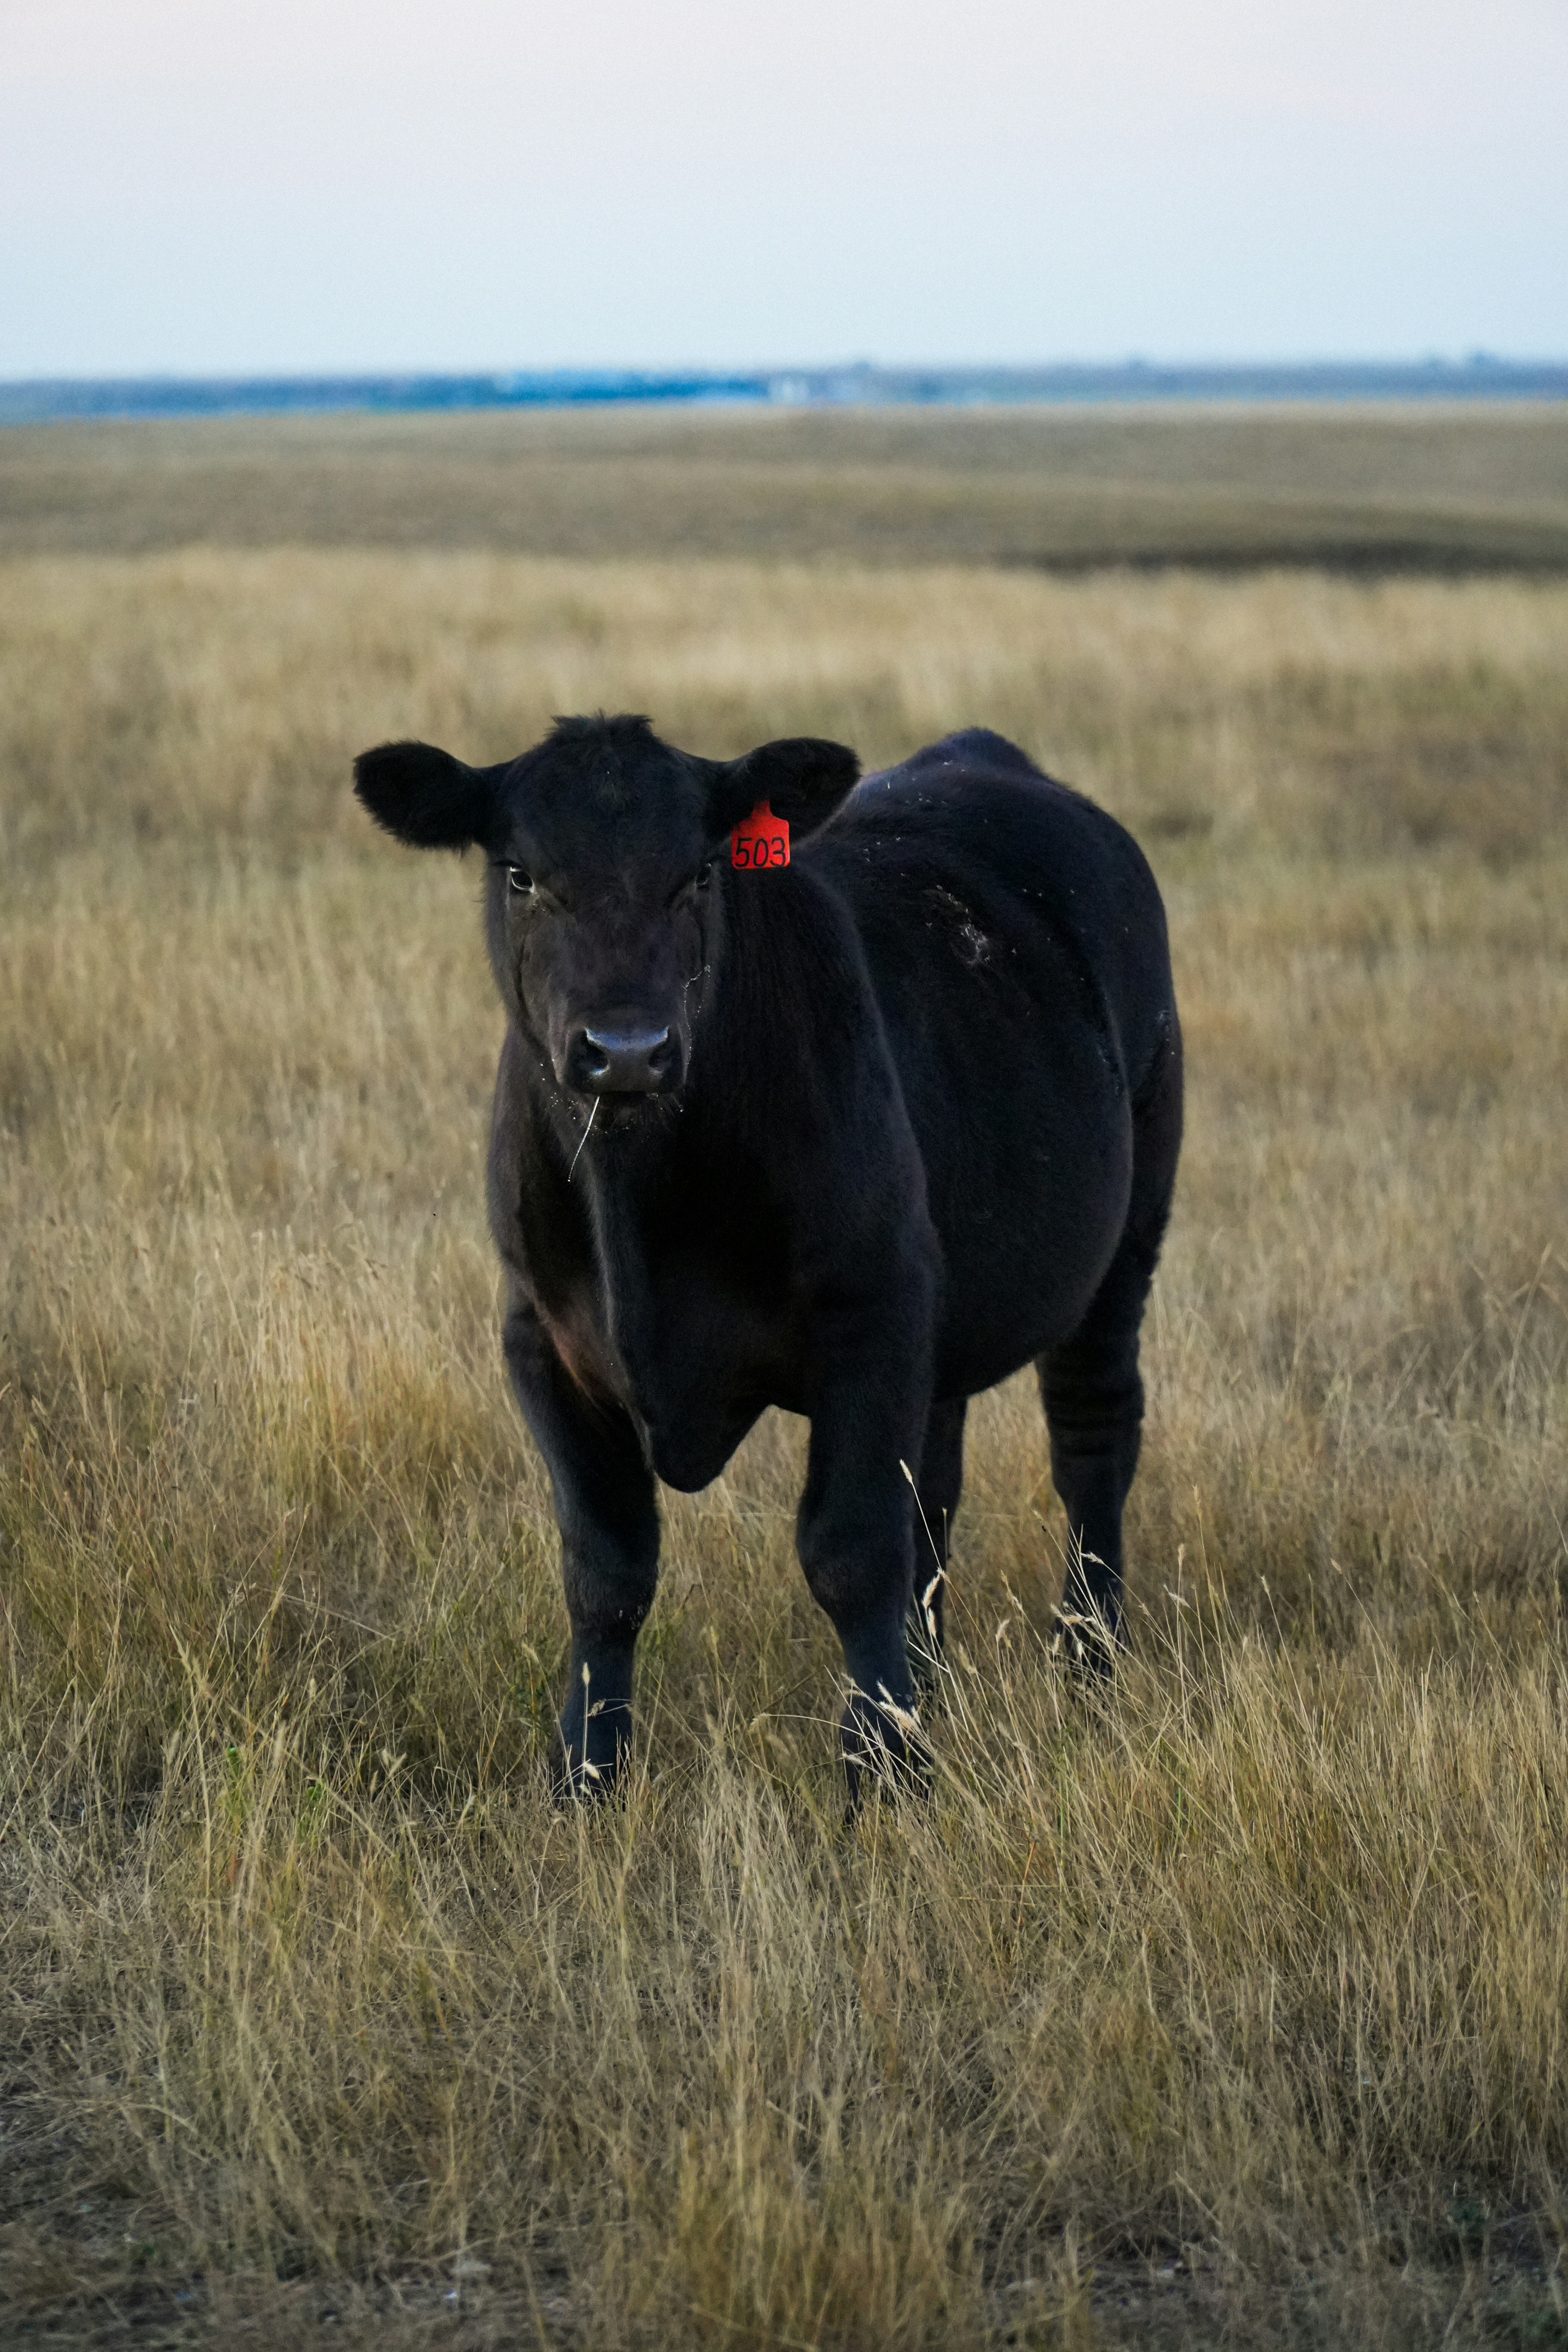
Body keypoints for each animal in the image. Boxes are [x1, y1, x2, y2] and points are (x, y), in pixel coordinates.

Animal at [353, 716, 1182, 1805]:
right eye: (523, 874)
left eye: (701, 872)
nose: (626, 1049)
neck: (640, 1213)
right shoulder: (541, 1337)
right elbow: (605, 1569)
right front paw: (586, 1776)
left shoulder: (867, 1321)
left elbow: (851, 1550)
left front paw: (880, 1774)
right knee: (938, 1492)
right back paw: (934, 1682)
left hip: (1125, 1234)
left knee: (1091, 1438)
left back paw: (1086, 1660)